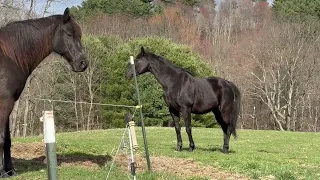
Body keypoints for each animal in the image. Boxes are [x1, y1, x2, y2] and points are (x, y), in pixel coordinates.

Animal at [0, 7, 87, 176]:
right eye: (69, 34)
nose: (83, 63)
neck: (9, 56)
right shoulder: (4, 103)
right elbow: (1, 138)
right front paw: (2, 172)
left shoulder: (8, 103)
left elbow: (7, 139)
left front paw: (10, 171)